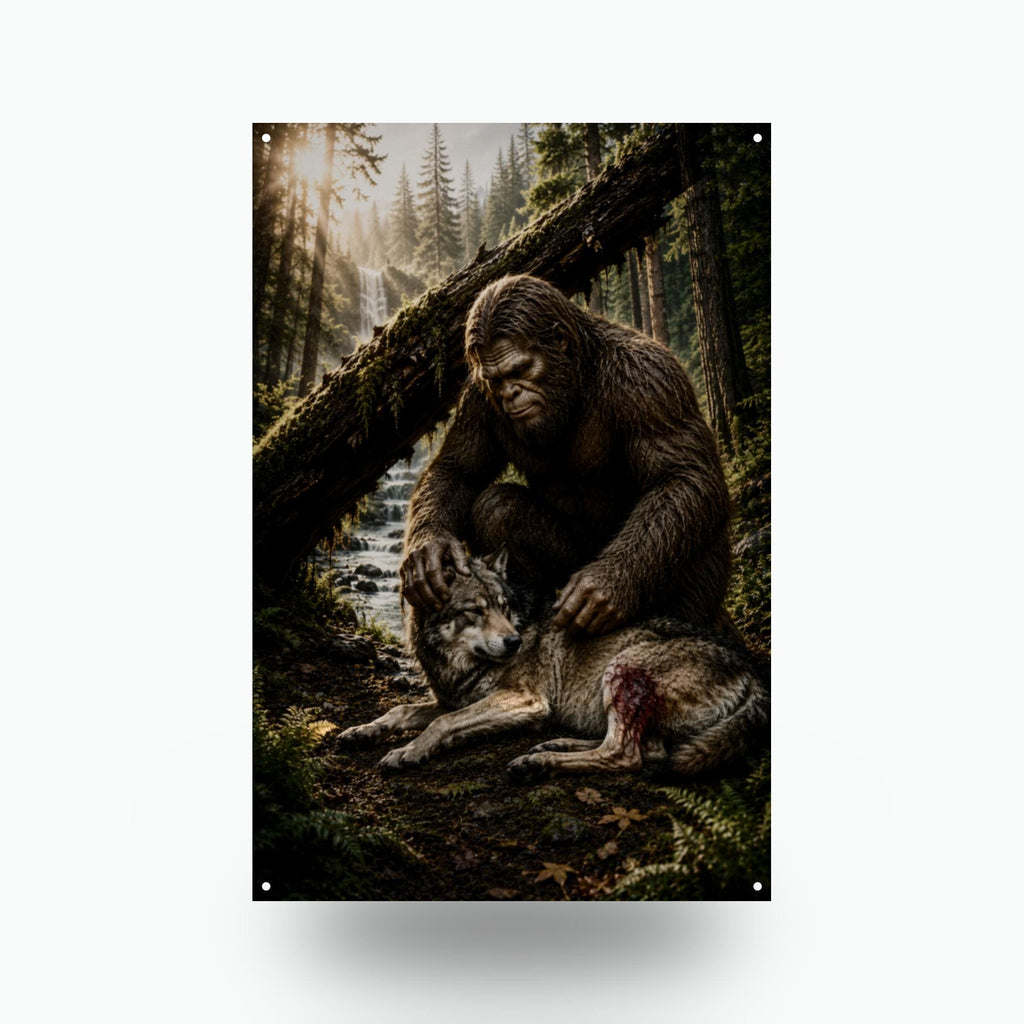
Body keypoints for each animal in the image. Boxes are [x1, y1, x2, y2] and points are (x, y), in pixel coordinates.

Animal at [339, 551, 768, 780]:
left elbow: (440, 723)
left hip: (623, 667)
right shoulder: (457, 699)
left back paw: (539, 762)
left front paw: (409, 751)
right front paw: (363, 731)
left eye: (505, 607)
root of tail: (750, 668)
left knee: (623, 754)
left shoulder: (526, 700)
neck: (460, 663)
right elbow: (401, 710)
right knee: (649, 750)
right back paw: (555, 743)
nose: (514, 641)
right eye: (475, 611)